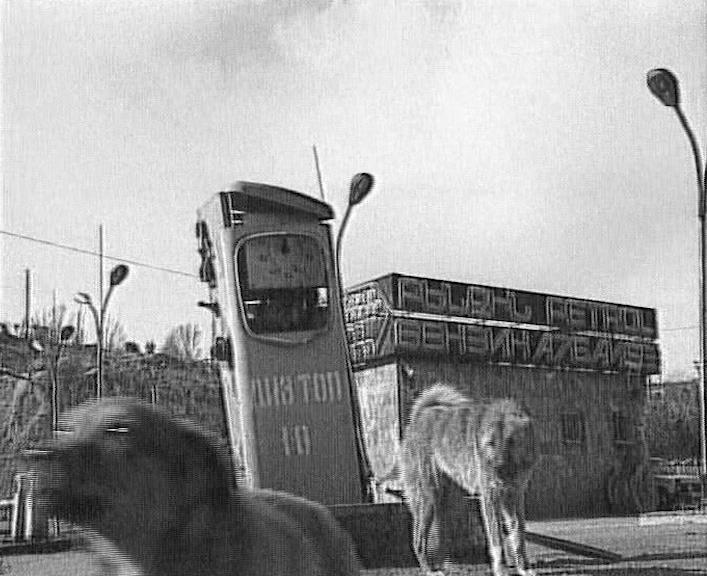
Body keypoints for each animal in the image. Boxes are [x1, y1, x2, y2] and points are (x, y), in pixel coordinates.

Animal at [398, 382, 536, 576]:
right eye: (490, 443)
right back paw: (429, 570)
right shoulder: (490, 497)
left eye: (510, 441)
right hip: (428, 498)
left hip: (446, 503)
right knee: (418, 540)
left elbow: (518, 535)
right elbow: (497, 541)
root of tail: (419, 418)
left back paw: (444, 566)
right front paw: (500, 570)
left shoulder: (514, 497)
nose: (494, 469)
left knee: (439, 538)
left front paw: (524, 568)